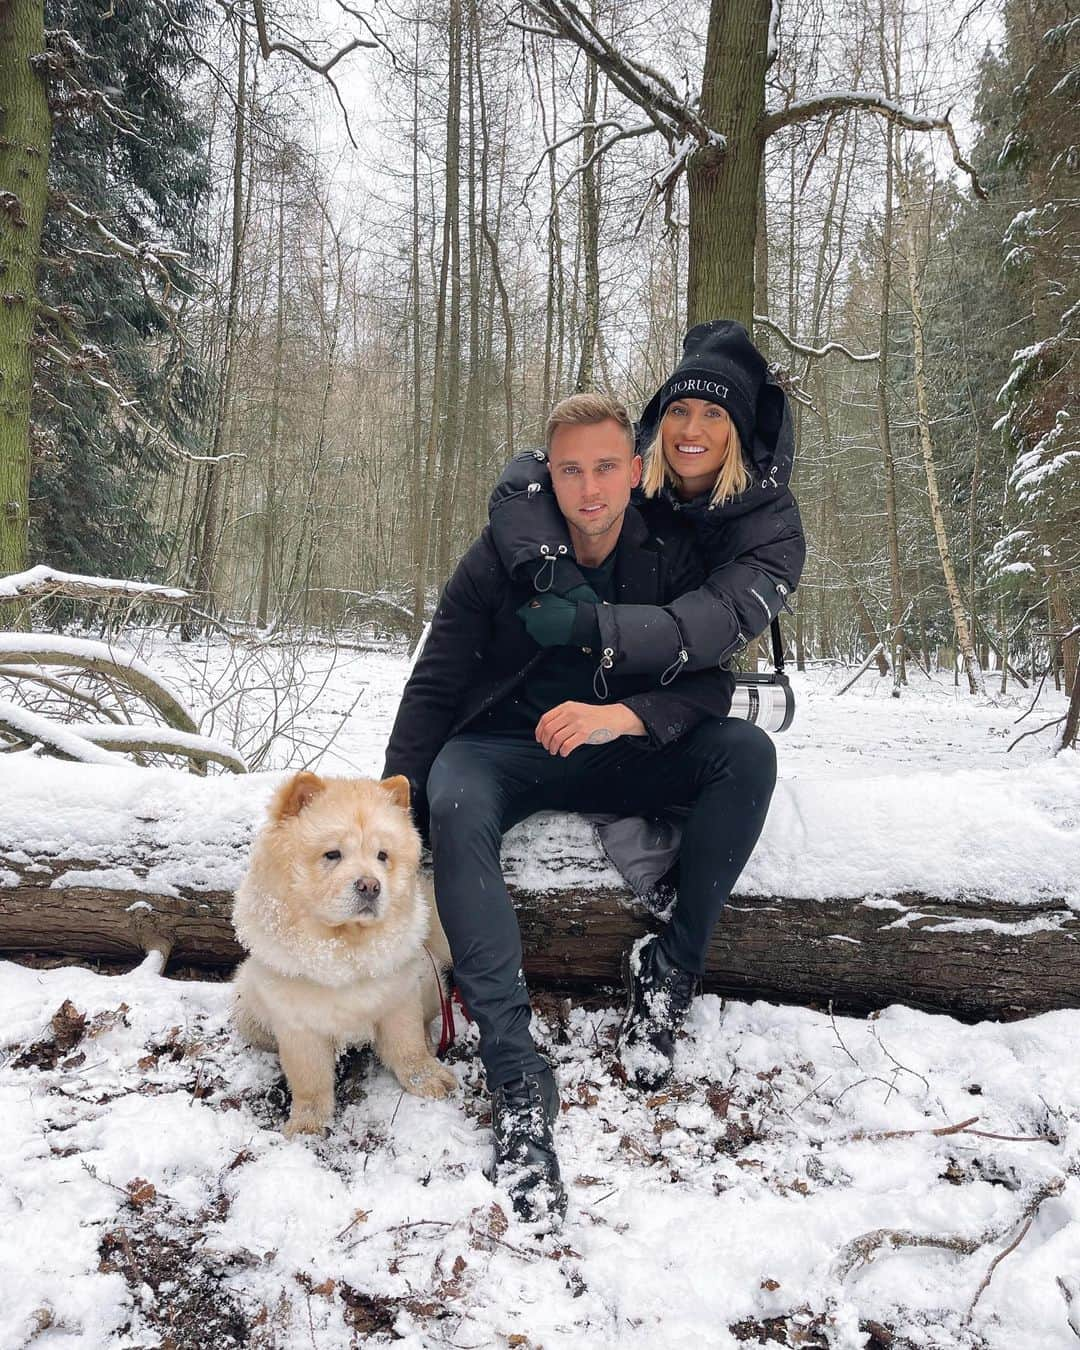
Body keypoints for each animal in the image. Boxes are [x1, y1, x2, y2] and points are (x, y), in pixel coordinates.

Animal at [232, 772, 456, 1139]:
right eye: (332, 854)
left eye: (382, 856)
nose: (370, 885)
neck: (345, 946)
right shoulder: (297, 1023)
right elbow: (310, 1080)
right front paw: (307, 1125)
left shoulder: (399, 998)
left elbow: (407, 1046)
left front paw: (428, 1079)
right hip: (248, 1008)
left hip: (429, 981)